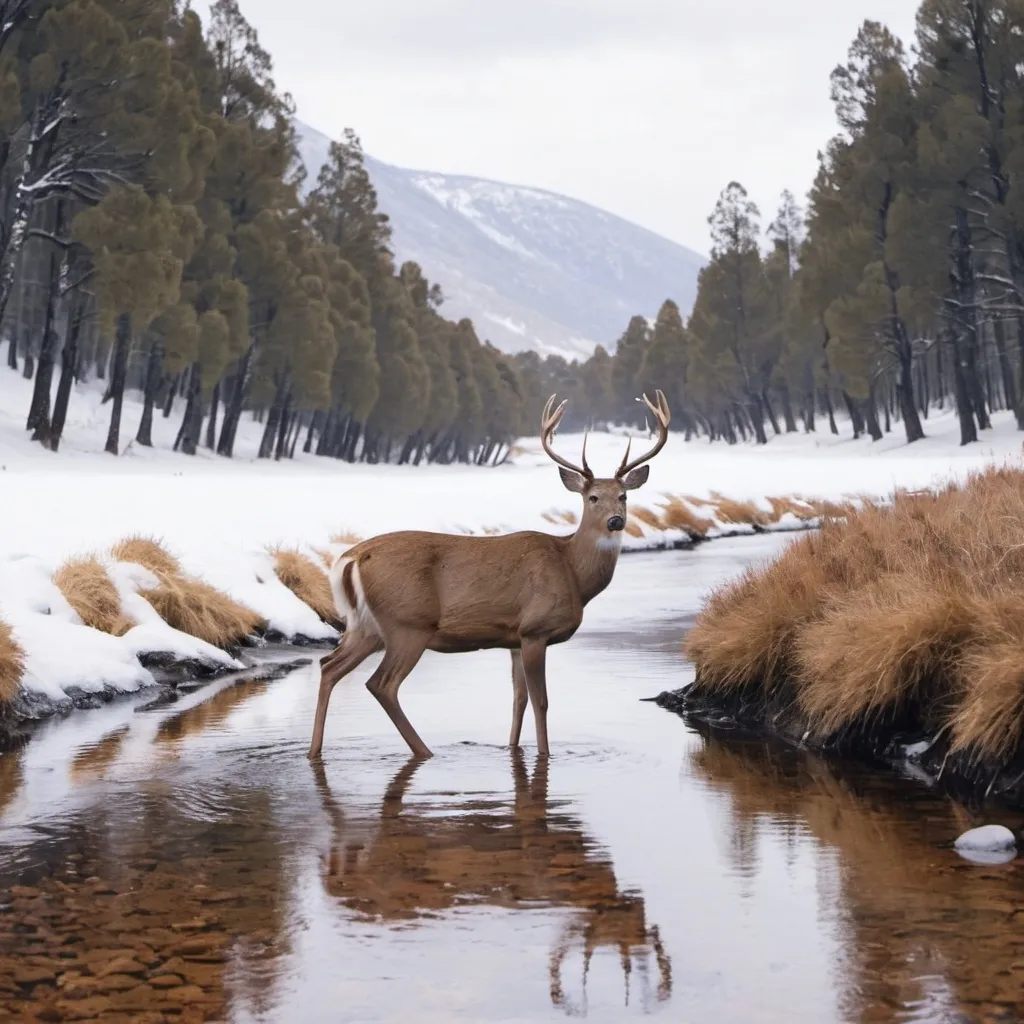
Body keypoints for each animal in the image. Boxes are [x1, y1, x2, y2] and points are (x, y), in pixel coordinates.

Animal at [305, 387, 671, 765]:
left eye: (624, 495)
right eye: (592, 497)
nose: (616, 520)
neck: (571, 570)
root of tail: (351, 557)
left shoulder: (514, 637)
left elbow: (518, 700)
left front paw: (512, 747)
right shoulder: (536, 628)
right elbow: (541, 701)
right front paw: (545, 754)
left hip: (366, 626)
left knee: (328, 666)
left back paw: (314, 751)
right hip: (407, 622)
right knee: (381, 684)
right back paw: (424, 751)